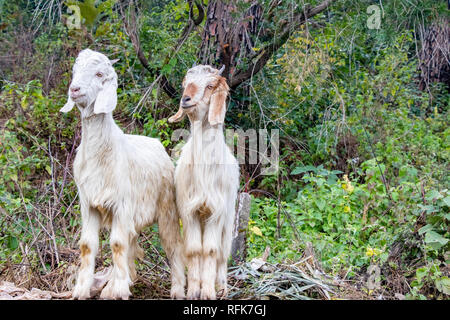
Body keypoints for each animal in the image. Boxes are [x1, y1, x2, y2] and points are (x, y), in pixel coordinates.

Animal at [60, 48, 185, 300]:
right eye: (75, 70)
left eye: (99, 74)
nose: (74, 89)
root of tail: (158, 145)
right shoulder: (88, 203)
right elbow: (87, 245)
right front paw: (82, 290)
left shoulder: (121, 203)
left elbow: (117, 244)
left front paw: (117, 290)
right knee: (131, 240)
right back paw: (124, 280)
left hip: (167, 207)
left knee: (172, 244)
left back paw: (177, 289)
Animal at [168, 65, 239, 300]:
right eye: (185, 84)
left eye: (209, 85)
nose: (185, 99)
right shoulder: (189, 210)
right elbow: (193, 249)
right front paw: (193, 291)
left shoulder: (216, 212)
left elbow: (210, 250)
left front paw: (207, 292)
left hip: (229, 216)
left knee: (223, 252)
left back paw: (222, 287)